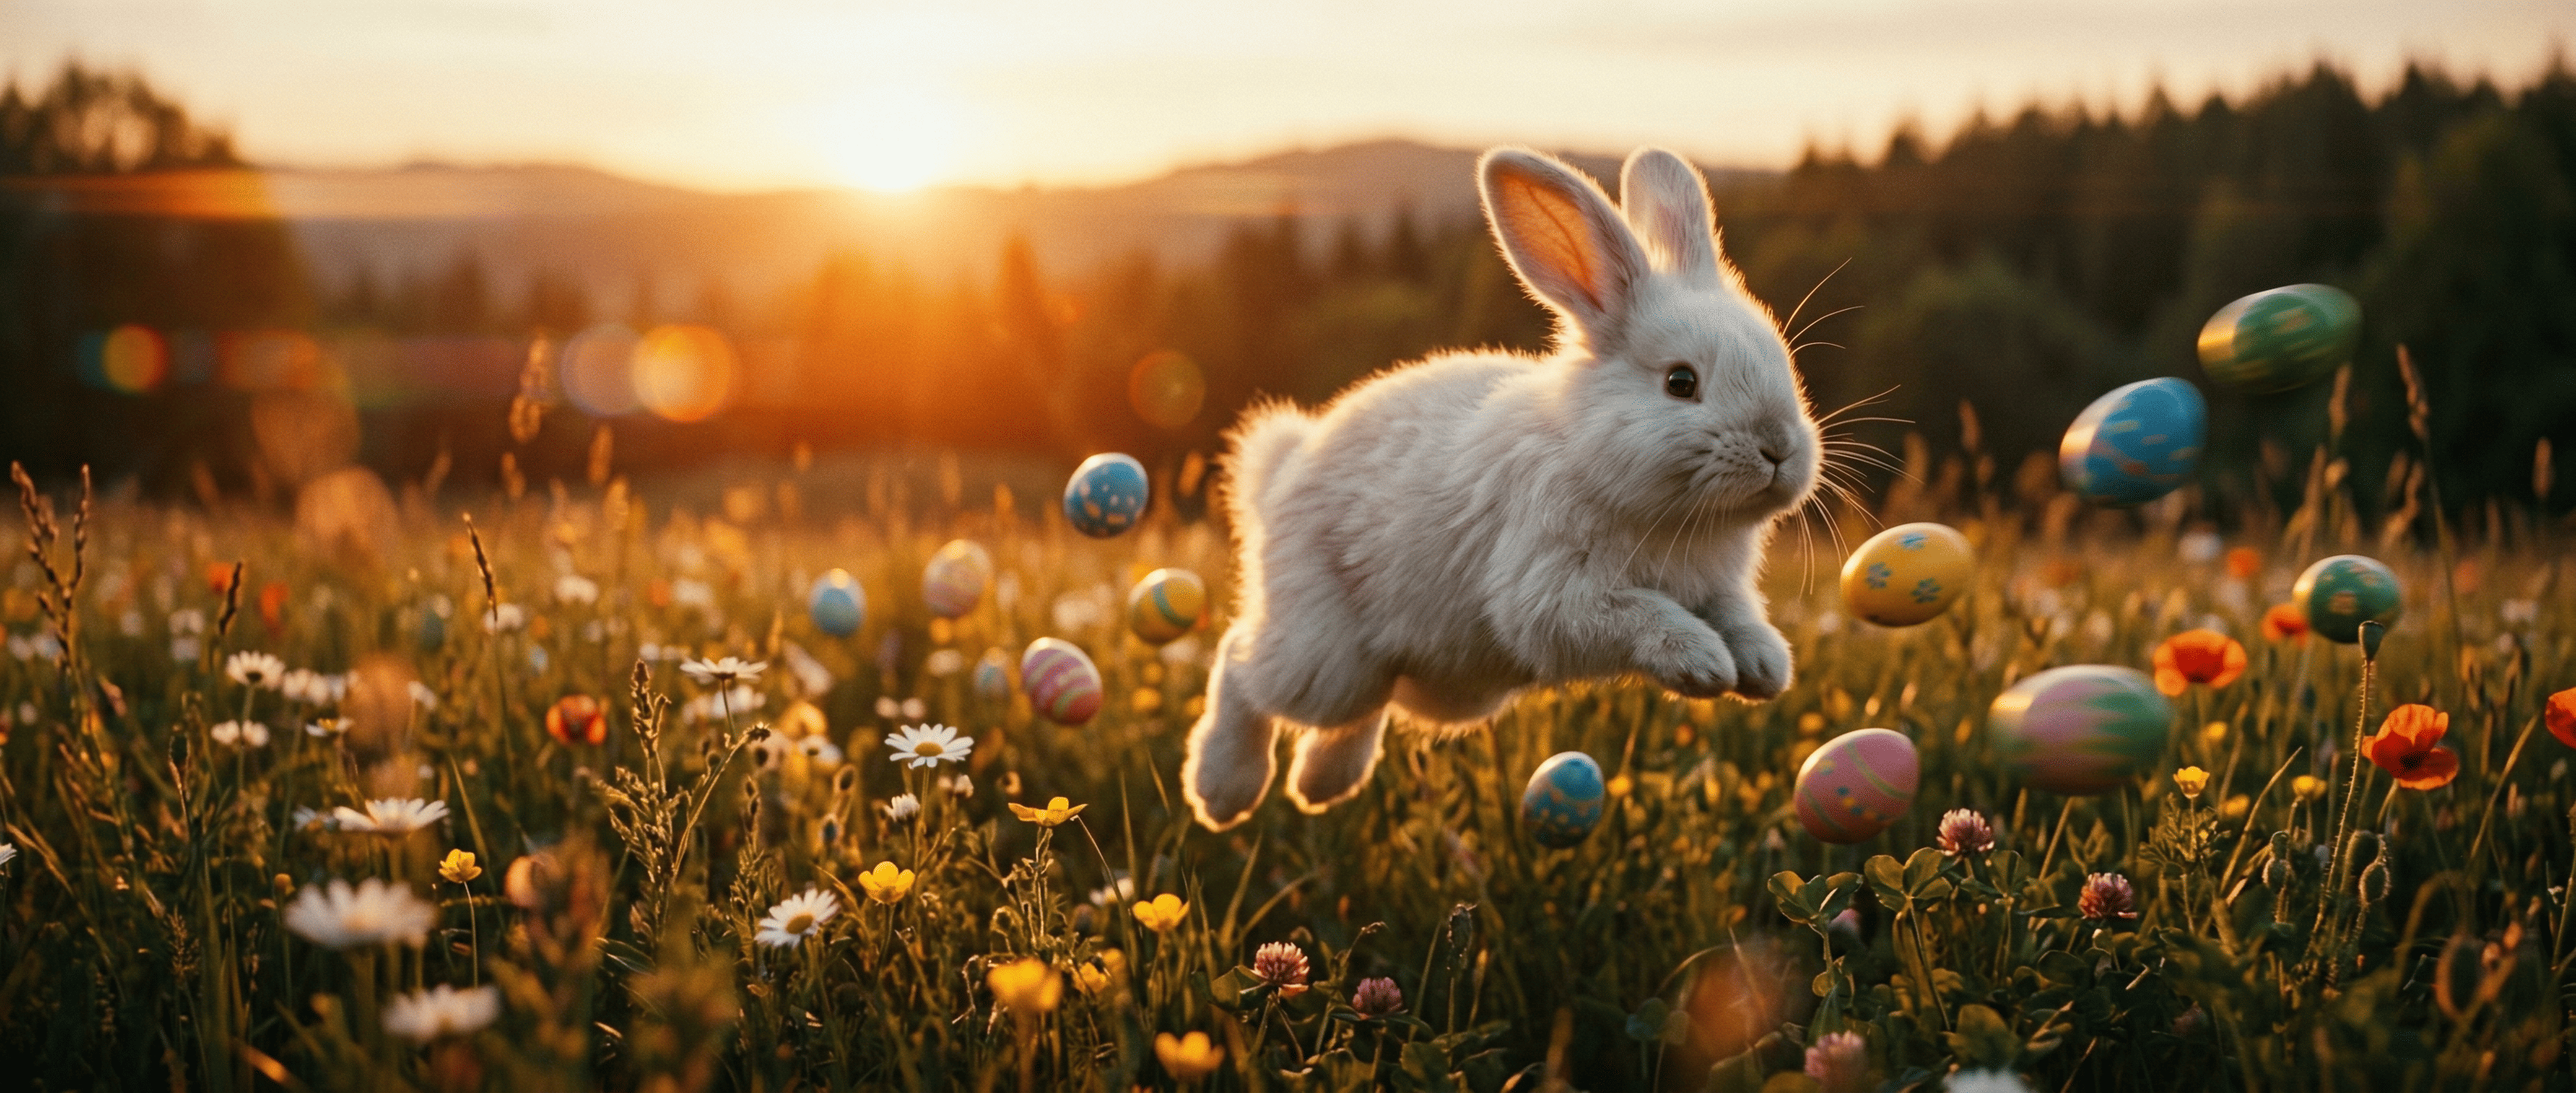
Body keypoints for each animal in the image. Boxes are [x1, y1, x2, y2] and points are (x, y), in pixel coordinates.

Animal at [1181, 146, 1823, 832]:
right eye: (1681, 382)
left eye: (1783, 363)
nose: (1779, 449)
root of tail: (1281, 472)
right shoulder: (1555, 593)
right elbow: (1645, 615)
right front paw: (1704, 663)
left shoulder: (1718, 588)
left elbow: (1739, 616)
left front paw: (1765, 668)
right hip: (1325, 660)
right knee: (1241, 666)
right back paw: (1223, 792)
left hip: (1433, 687)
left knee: (1358, 708)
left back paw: (1321, 786)